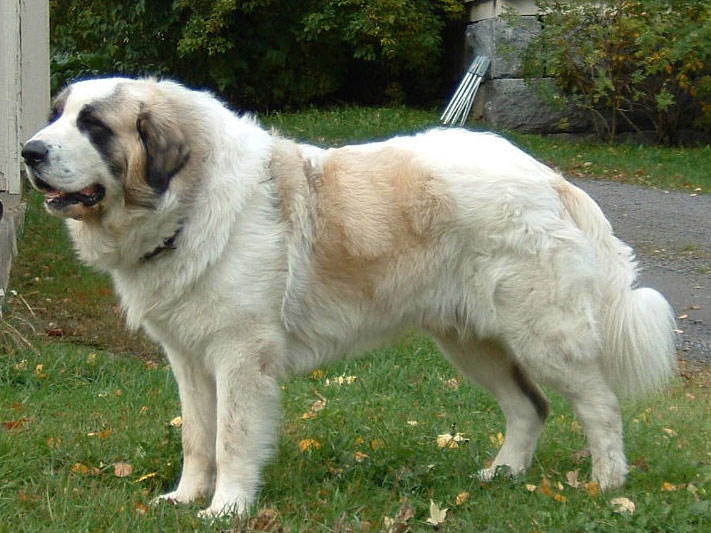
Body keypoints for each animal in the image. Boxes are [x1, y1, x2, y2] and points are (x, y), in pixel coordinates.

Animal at [23, 76, 680, 516]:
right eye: (57, 115)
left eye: (93, 126)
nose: (29, 151)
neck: (190, 198)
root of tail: (549, 176)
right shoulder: (188, 358)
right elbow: (196, 437)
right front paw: (185, 499)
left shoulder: (239, 356)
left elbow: (231, 438)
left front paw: (226, 510)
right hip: (471, 343)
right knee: (529, 407)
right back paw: (500, 476)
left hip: (543, 336)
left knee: (599, 405)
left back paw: (607, 486)